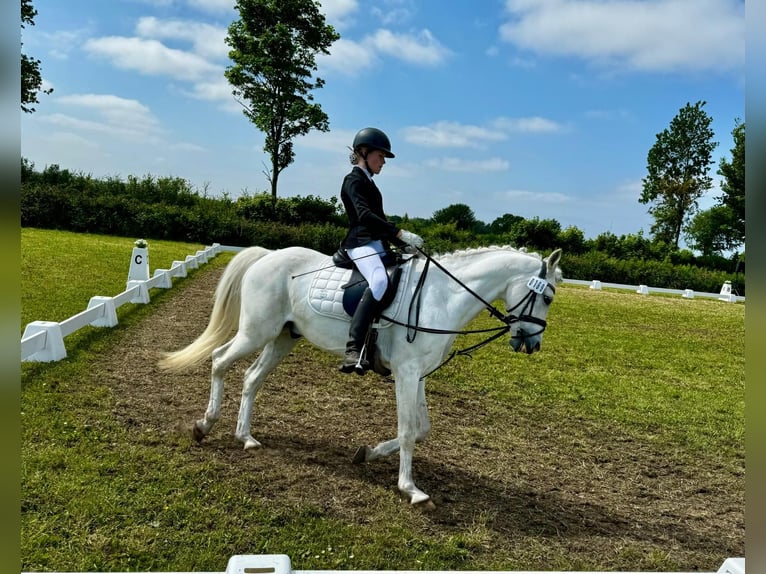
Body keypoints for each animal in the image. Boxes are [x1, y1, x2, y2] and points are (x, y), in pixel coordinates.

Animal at [160, 244, 564, 508]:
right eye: (547, 297)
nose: (532, 344)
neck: (442, 297)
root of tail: (267, 255)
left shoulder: (418, 375)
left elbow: (422, 429)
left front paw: (367, 453)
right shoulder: (406, 373)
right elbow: (408, 430)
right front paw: (411, 489)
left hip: (281, 338)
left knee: (251, 378)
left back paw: (245, 437)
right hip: (256, 332)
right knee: (219, 360)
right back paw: (205, 424)